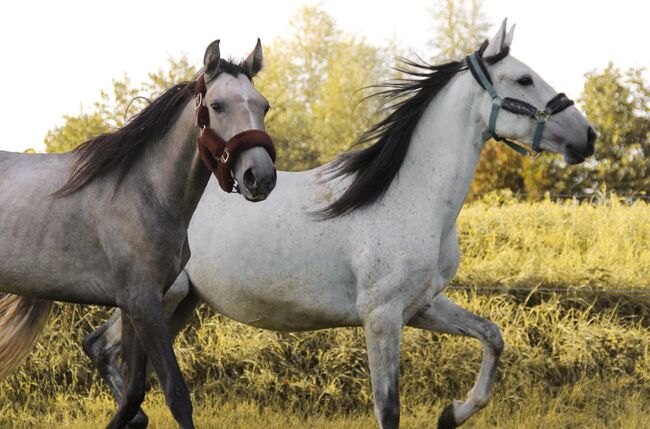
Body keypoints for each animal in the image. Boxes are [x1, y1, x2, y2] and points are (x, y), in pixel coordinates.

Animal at [0, 37, 274, 428]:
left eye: (263, 105)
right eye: (217, 106)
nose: (260, 177)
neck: (144, 191)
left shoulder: (136, 304)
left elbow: (132, 393)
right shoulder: (143, 303)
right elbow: (175, 393)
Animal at [85, 20, 592, 428]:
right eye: (525, 79)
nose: (587, 137)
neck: (411, 196)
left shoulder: (421, 306)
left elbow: (493, 336)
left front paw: (452, 413)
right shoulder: (382, 318)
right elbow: (388, 410)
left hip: (181, 302)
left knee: (108, 350)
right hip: (158, 297)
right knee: (104, 346)